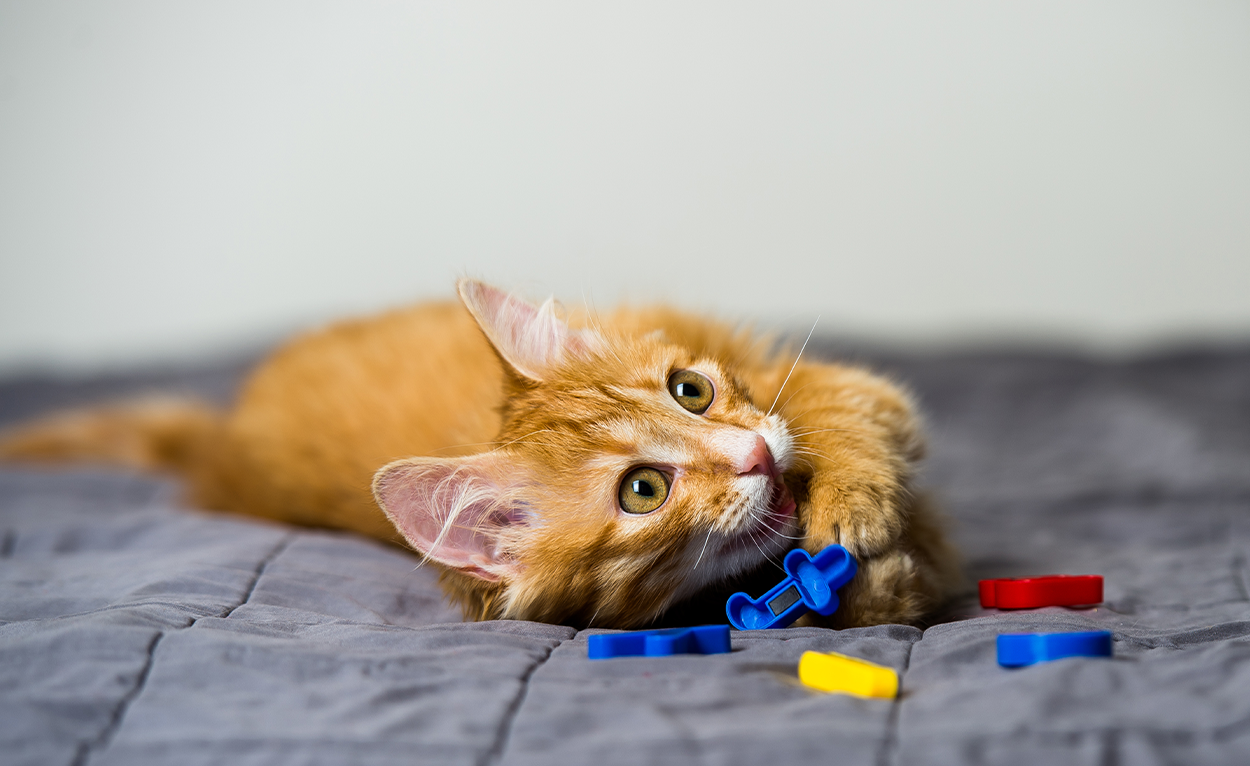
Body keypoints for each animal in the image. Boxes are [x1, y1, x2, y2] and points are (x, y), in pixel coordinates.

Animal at [0, 281, 960, 627]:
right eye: (643, 490)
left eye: (690, 391)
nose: (756, 452)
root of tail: (222, 439)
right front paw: (879, 582)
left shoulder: (828, 388)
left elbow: (834, 417)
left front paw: (861, 509)